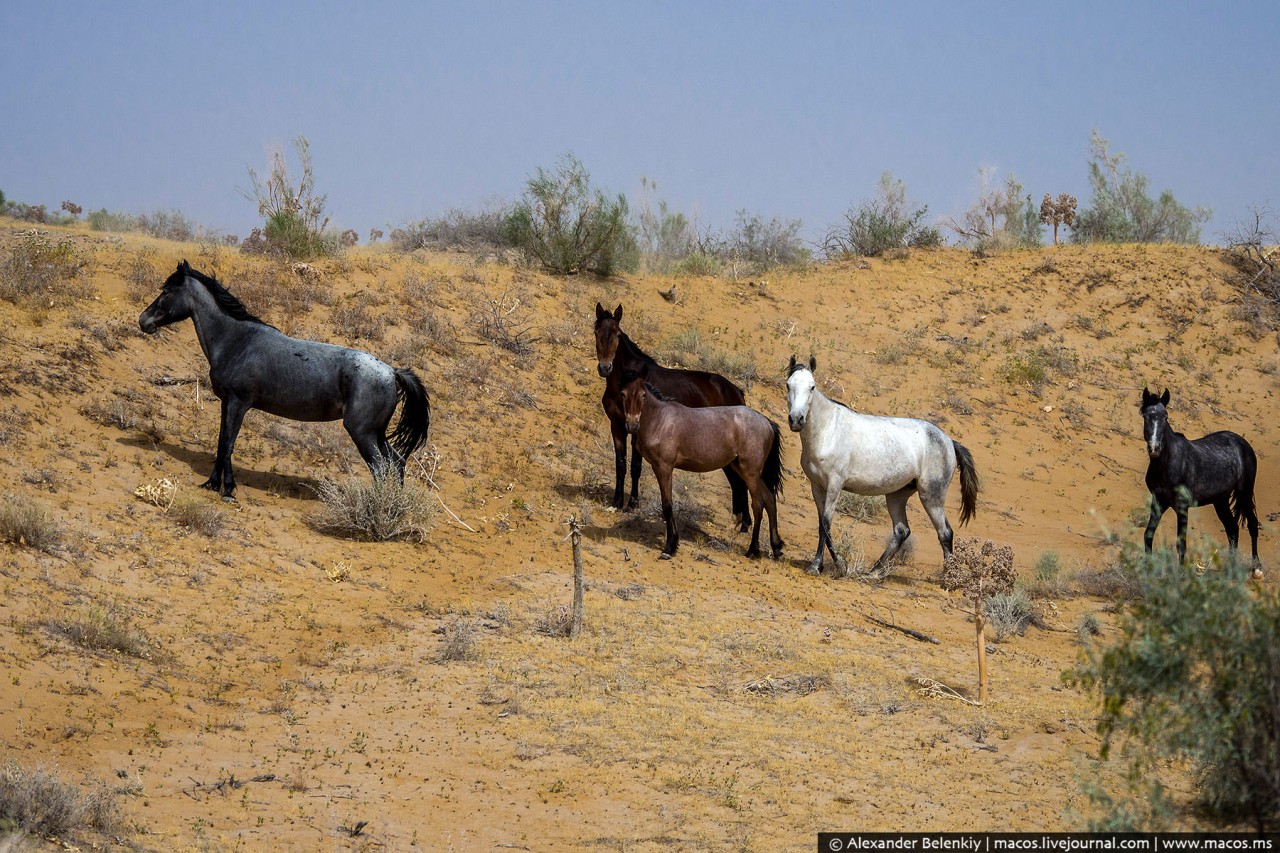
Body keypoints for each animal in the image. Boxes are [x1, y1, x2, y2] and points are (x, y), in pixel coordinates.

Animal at [138, 258, 430, 499]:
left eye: (166, 291)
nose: (143, 320)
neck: (237, 340)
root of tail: (392, 372)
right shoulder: (226, 404)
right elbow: (221, 443)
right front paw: (212, 484)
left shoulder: (238, 404)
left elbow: (228, 444)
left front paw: (228, 490)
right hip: (376, 433)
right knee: (396, 463)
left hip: (363, 433)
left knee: (380, 468)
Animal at [596, 302, 752, 522]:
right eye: (597, 332)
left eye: (617, 334)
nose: (605, 367)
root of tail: (737, 391)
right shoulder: (617, 426)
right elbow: (620, 464)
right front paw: (617, 502)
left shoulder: (637, 432)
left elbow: (635, 467)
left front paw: (632, 504)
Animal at [616, 371, 778, 558]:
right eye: (623, 394)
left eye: (643, 395)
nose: (632, 425)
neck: (660, 420)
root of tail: (766, 422)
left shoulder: (664, 468)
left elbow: (667, 505)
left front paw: (669, 547)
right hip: (742, 469)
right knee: (770, 499)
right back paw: (776, 547)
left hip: (750, 472)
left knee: (758, 505)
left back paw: (753, 550)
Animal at [778, 350, 977, 578]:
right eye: (788, 385)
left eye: (812, 386)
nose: (796, 419)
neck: (828, 431)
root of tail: (949, 441)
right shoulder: (817, 486)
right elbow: (822, 525)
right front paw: (816, 565)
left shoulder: (834, 486)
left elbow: (826, 524)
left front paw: (840, 565)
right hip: (897, 495)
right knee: (901, 531)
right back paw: (874, 572)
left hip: (931, 496)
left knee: (944, 532)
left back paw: (946, 578)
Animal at [1141, 384, 1259, 563]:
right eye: (1146, 416)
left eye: (1165, 417)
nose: (1154, 448)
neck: (1168, 464)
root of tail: (1243, 443)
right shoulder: (1158, 502)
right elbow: (1148, 535)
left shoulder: (1182, 506)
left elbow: (1181, 544)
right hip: (1220, 500)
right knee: (1232, 528)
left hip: (1244, 492)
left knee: (1252, 525)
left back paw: (1256, 567)